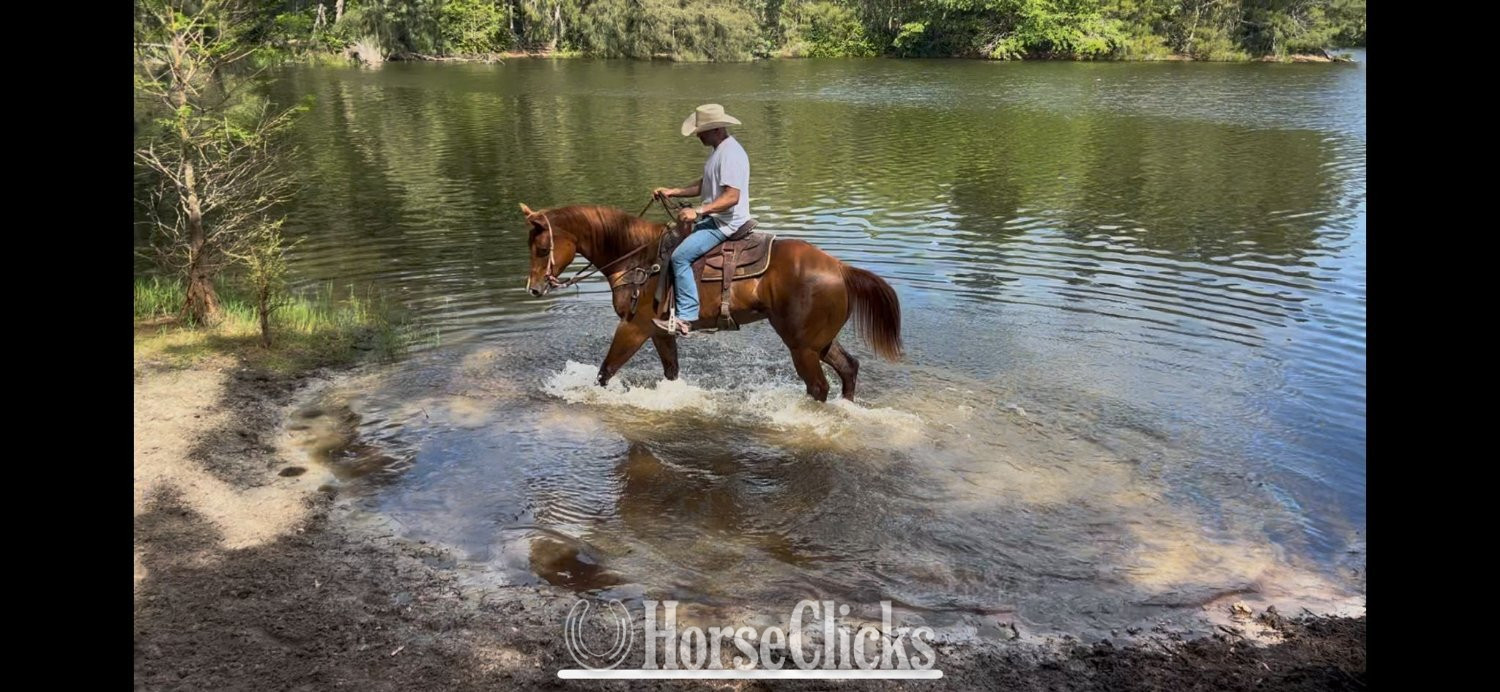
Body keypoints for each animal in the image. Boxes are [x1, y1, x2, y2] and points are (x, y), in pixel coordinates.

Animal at [520, 203, 902, 402]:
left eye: (542, 248)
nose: (534, 289)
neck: (638, 259)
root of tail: (840, 268)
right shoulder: (660, 331)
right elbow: (671, 372)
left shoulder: (633, 328)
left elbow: (606, 371)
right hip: (818, 340)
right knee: (848, 368)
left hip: (802, 346)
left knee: (819, 387)